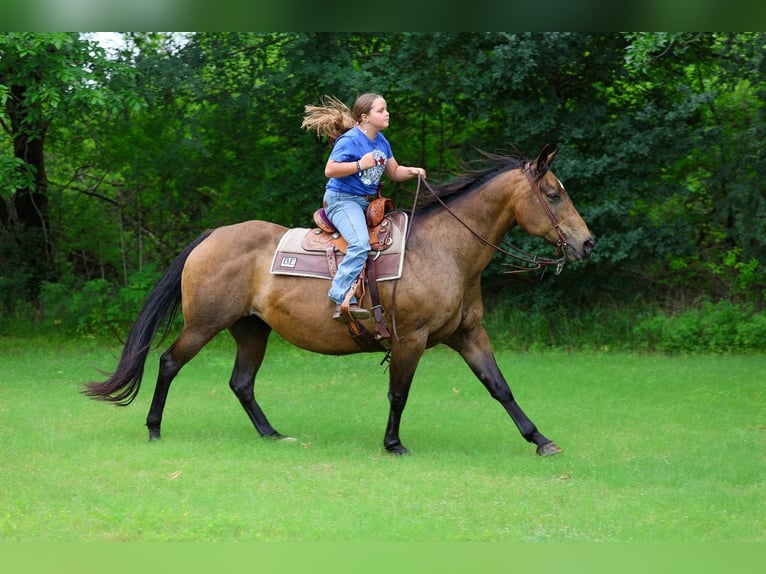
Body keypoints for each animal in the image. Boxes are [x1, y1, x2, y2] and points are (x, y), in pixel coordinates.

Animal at [84, 143, 594, 456]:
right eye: (552, 194)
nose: (587, 244)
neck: (444, 249)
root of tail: (213, 235)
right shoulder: (410, 339)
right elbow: (399, 393)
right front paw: (394, 444)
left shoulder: (468, 334)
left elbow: (499, 387)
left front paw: (540, 439)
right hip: (204, 324)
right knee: (169, 363)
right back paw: (154, 427)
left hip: (251, 330)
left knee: (241, 383)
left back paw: (272, 434)